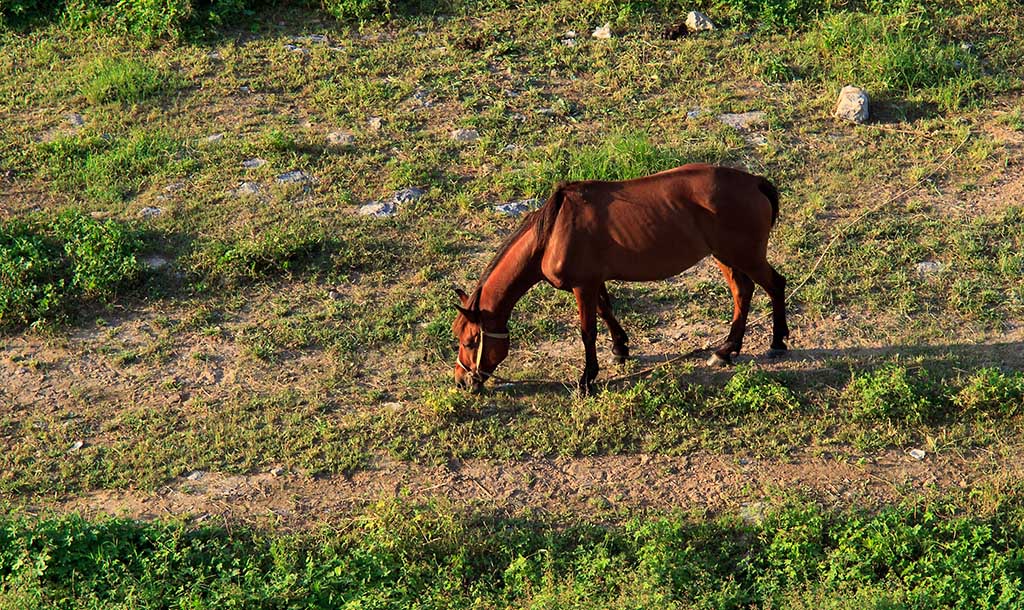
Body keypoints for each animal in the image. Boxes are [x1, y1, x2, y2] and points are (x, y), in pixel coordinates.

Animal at [450, 162, 790, 390]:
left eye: (470, 341)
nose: (462, 381)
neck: (552, 233)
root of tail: (755, 183)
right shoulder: (593, 281)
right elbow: (606, 311)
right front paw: (619, 349)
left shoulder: (582, 286)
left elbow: (587, 331)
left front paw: (587, 378)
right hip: (725, 258)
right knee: (743, 292)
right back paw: (726, 349)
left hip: (744, 257)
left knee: (775, 285)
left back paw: (776, 343)